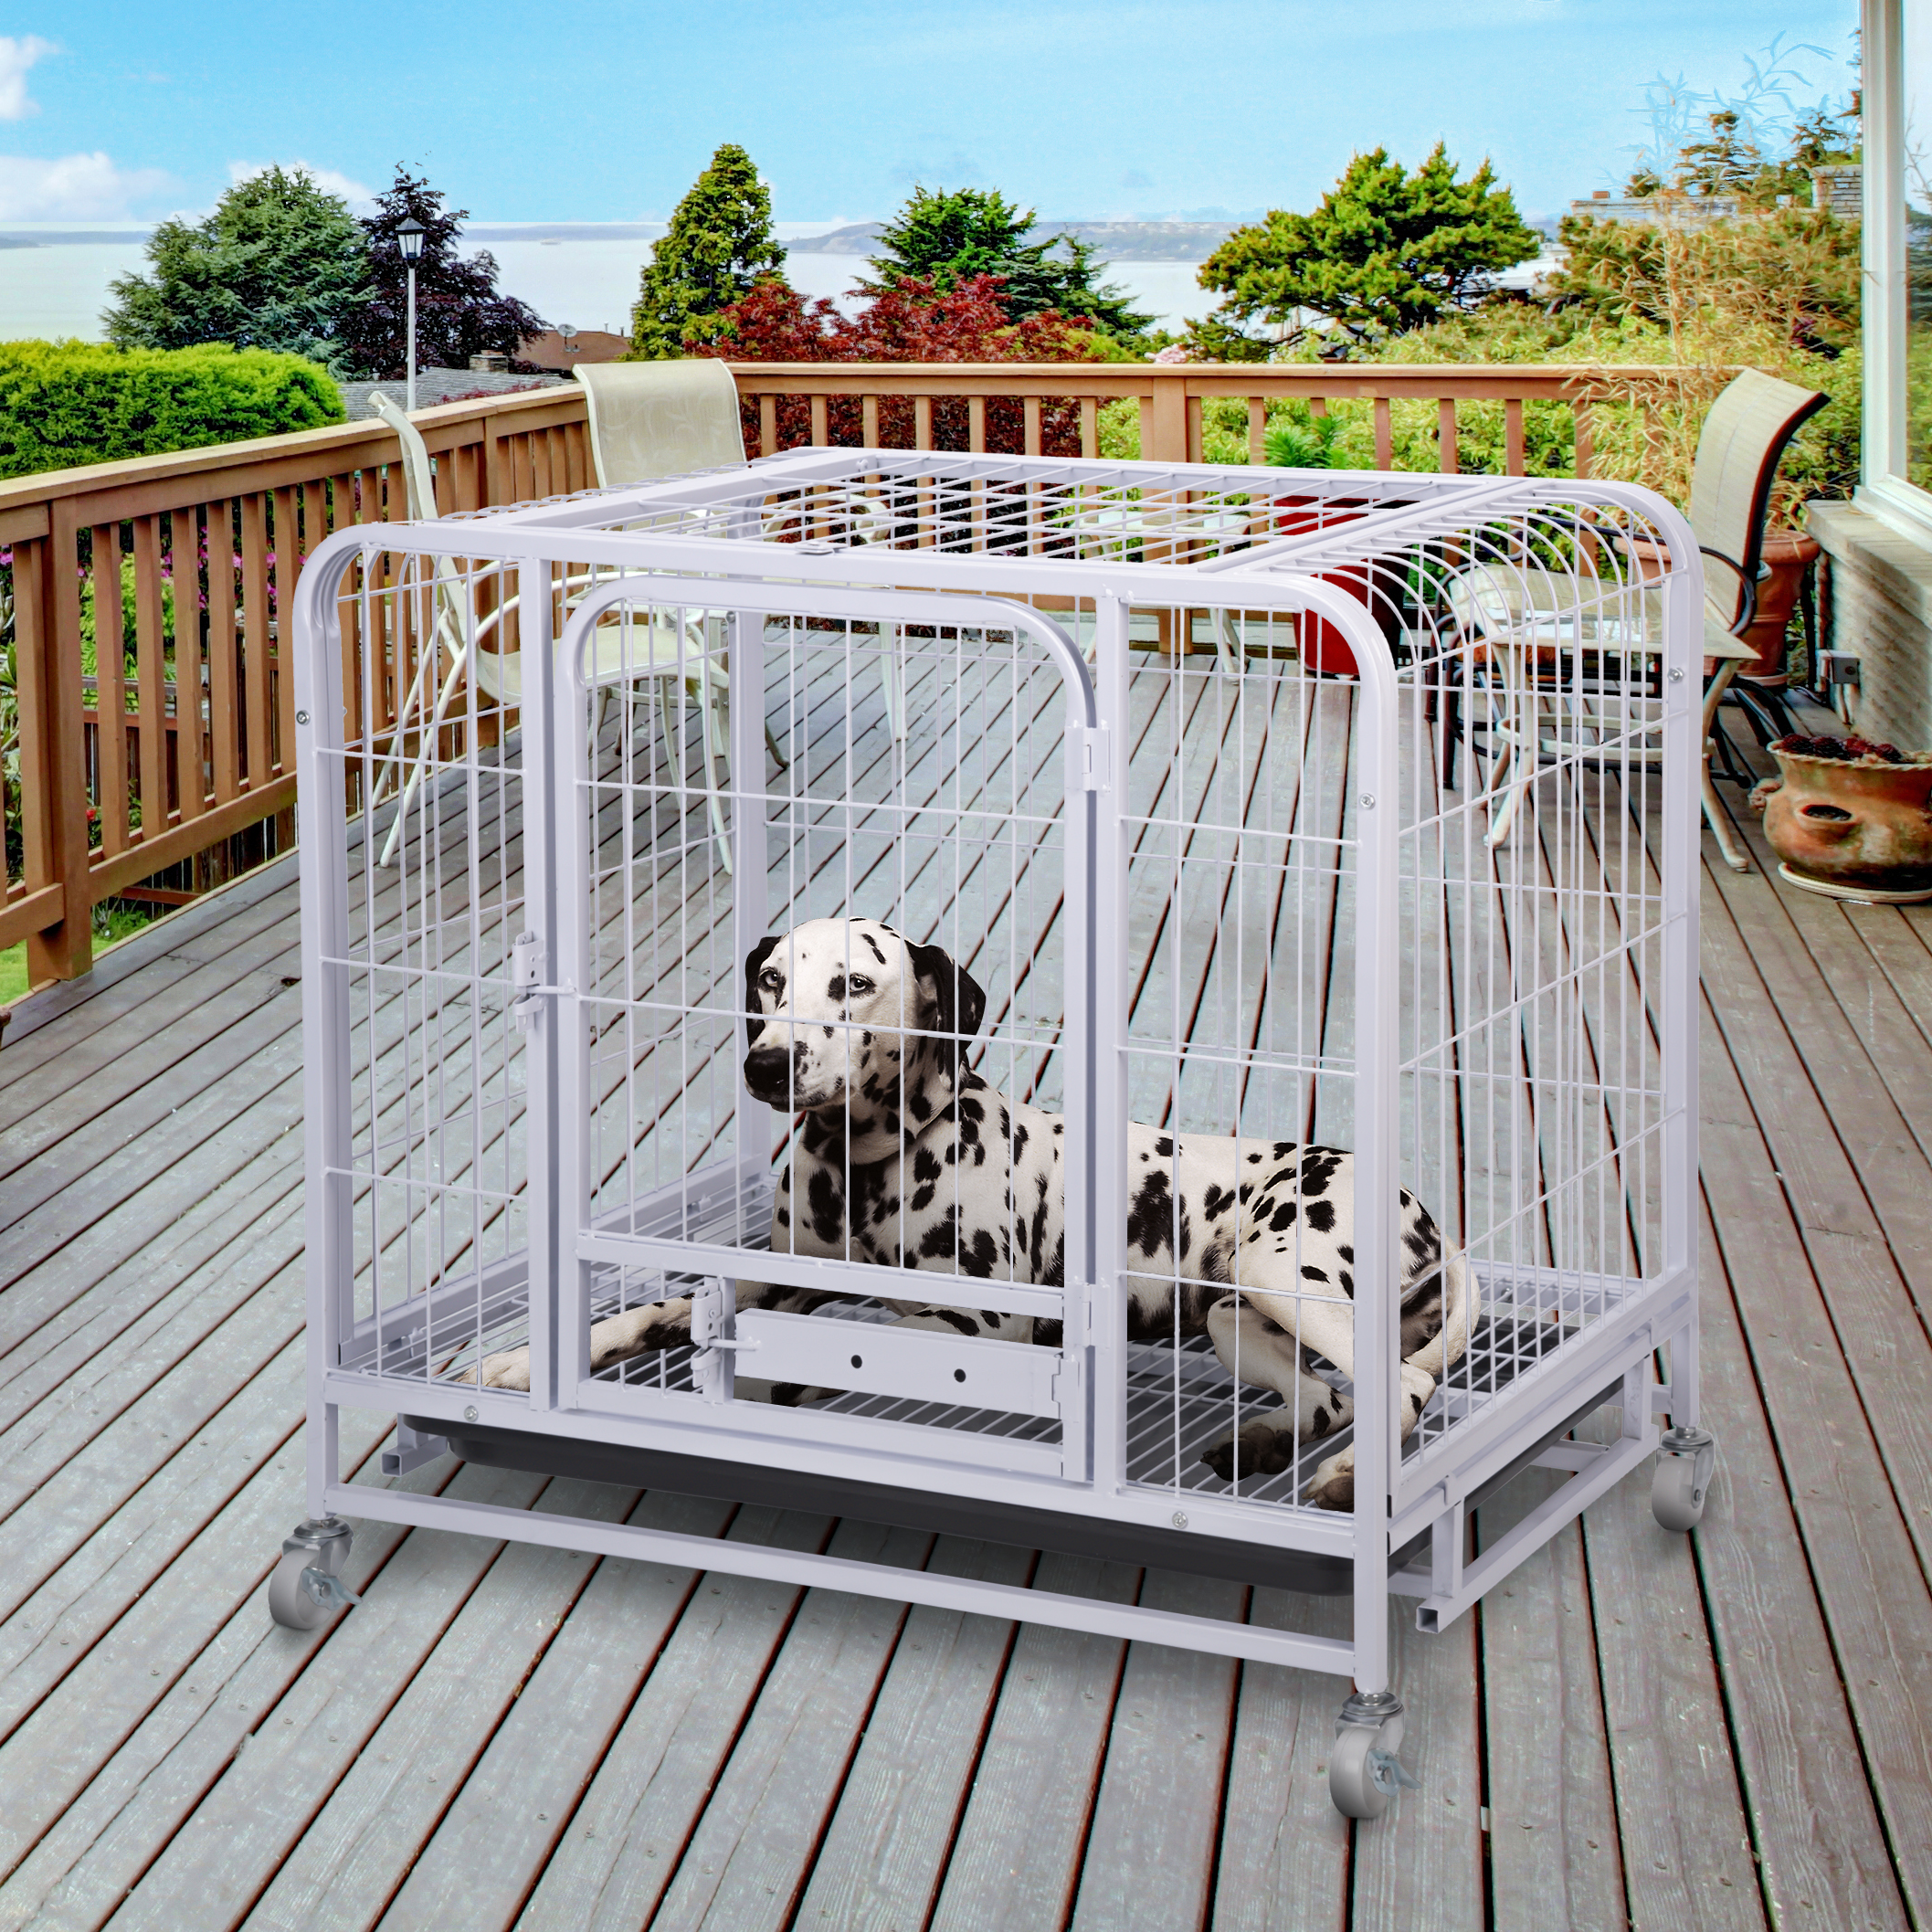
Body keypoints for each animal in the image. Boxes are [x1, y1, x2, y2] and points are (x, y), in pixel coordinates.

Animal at [475, 919, 1468, 1506]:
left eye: (852, 985)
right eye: (770, 980)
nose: (766, 1063)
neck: (863, 1170)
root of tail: (1428, 1217)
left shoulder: (988, 1326)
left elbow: (852, 1337)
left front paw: (767, 1383)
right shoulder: (776, 1275)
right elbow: (657, 1311)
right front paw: (529, 1360)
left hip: (1285, 1276)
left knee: (1398, 1389)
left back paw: (1348, 1476)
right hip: (1235, 1320)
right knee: (1326, 1399)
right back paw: (1259, 1445)